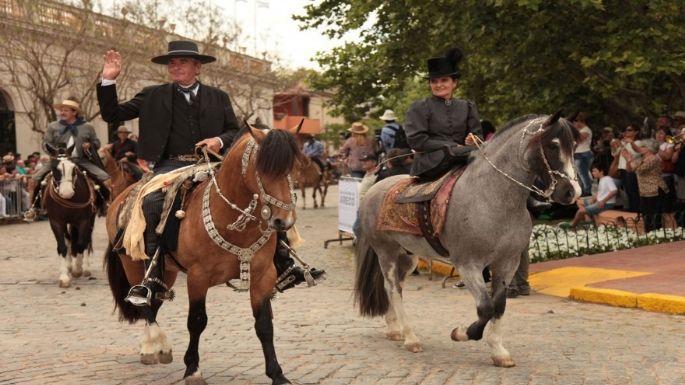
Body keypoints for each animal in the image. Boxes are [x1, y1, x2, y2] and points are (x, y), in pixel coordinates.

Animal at [43, 142, 97, 286]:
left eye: (73, 168)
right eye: (54, 169)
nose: (67, 193)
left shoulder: (84, 220)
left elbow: (81, 243)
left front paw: (78, 269)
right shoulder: (56, 222)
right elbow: (62, 246)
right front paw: (64, 276)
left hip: (90, 220)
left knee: (86, 241)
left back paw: (85, 268)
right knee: (68, 240)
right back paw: (69, 265)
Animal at [356, 112, 580, 366]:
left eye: (574, 146)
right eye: (552, 146)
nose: (572, 192)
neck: (491, 197)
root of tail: (373, 190)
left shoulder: (507, 263)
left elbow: (499, 306)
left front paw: (498, 351)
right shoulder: (468, 265)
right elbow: (485, 308)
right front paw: (461, 333)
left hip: (408, 256)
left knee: (392, 286)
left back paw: (394, 328)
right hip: (387, 252)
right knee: (393, 288)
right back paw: (410, 337)